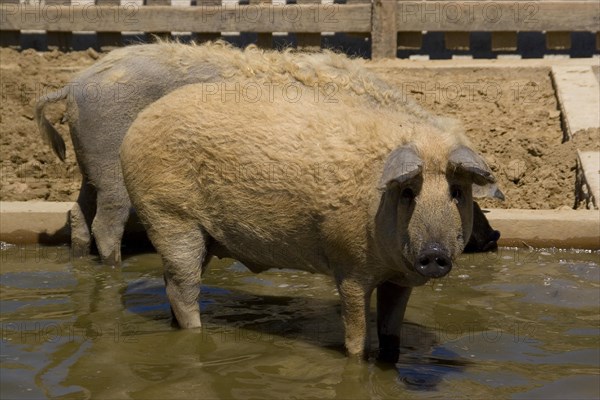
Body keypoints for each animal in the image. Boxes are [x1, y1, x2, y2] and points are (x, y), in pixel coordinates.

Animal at [118, 76, 496, 358]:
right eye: (408, 192)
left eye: (457, 192)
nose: (434, 254)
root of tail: (138, 121)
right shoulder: (349, 264)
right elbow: (357, 336)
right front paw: (358, 358)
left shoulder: (399, 280)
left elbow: (391, 334)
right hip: (168, 215)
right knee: (182, 287)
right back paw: (195, 331)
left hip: (199, 234)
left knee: (174, 283)